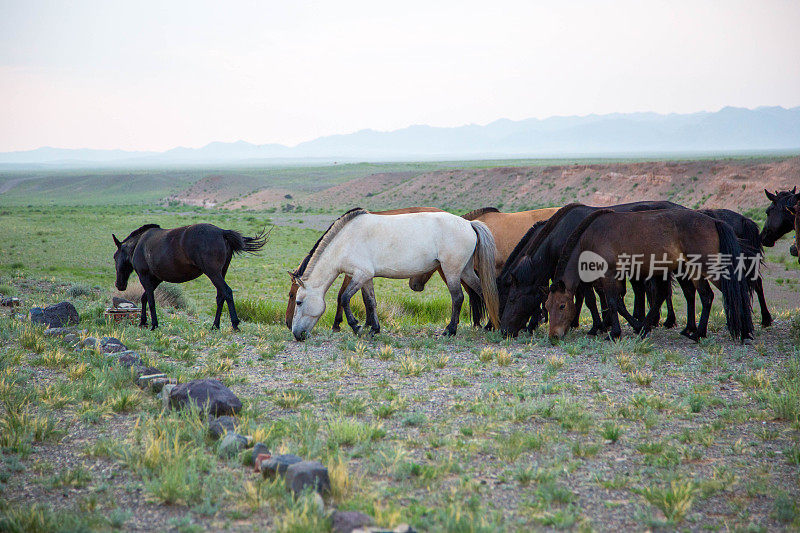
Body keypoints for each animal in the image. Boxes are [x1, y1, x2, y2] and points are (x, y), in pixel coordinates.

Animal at [112, 222, 268, 330]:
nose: (119, 284)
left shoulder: (145, 277)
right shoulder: (156, 279)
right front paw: (143, 322)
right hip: (221, 272)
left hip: (213, 273)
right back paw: (215, 326)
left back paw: (235, 324)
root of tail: (222, 232)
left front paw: (154, 324)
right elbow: (144, 298)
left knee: (227, 292)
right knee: (220, 296)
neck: (139, 245)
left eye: (115, 256)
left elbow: (150, 300)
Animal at [288, 209, 500, 340]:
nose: (297, 334)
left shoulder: (360, 275)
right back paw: (490, 326)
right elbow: (370, 302)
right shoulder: (366, 278)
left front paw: (356, 327)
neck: (346, 241)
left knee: (458, 297)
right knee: (483, 291)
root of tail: (469, 224)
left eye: (298, 301)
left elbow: (345, 298)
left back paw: (450, 331)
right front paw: (374, 329)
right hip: (465, 270)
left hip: (452, 270)